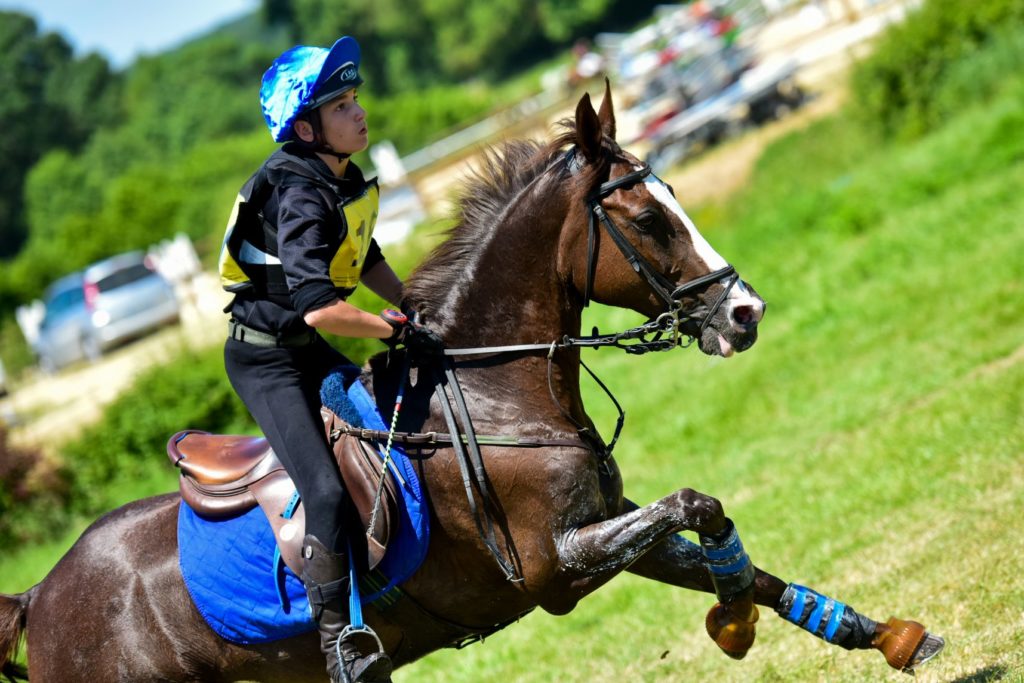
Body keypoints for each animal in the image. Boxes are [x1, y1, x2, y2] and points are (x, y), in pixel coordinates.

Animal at [0, 87, 942, 683]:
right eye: (646, 217)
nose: (745, 312)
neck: (498, 396)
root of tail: (41, 594)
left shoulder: (606, 530)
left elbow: (727, 543)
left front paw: (880, 633)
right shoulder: (556, 566)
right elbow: (692, 503)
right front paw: (735, 622)